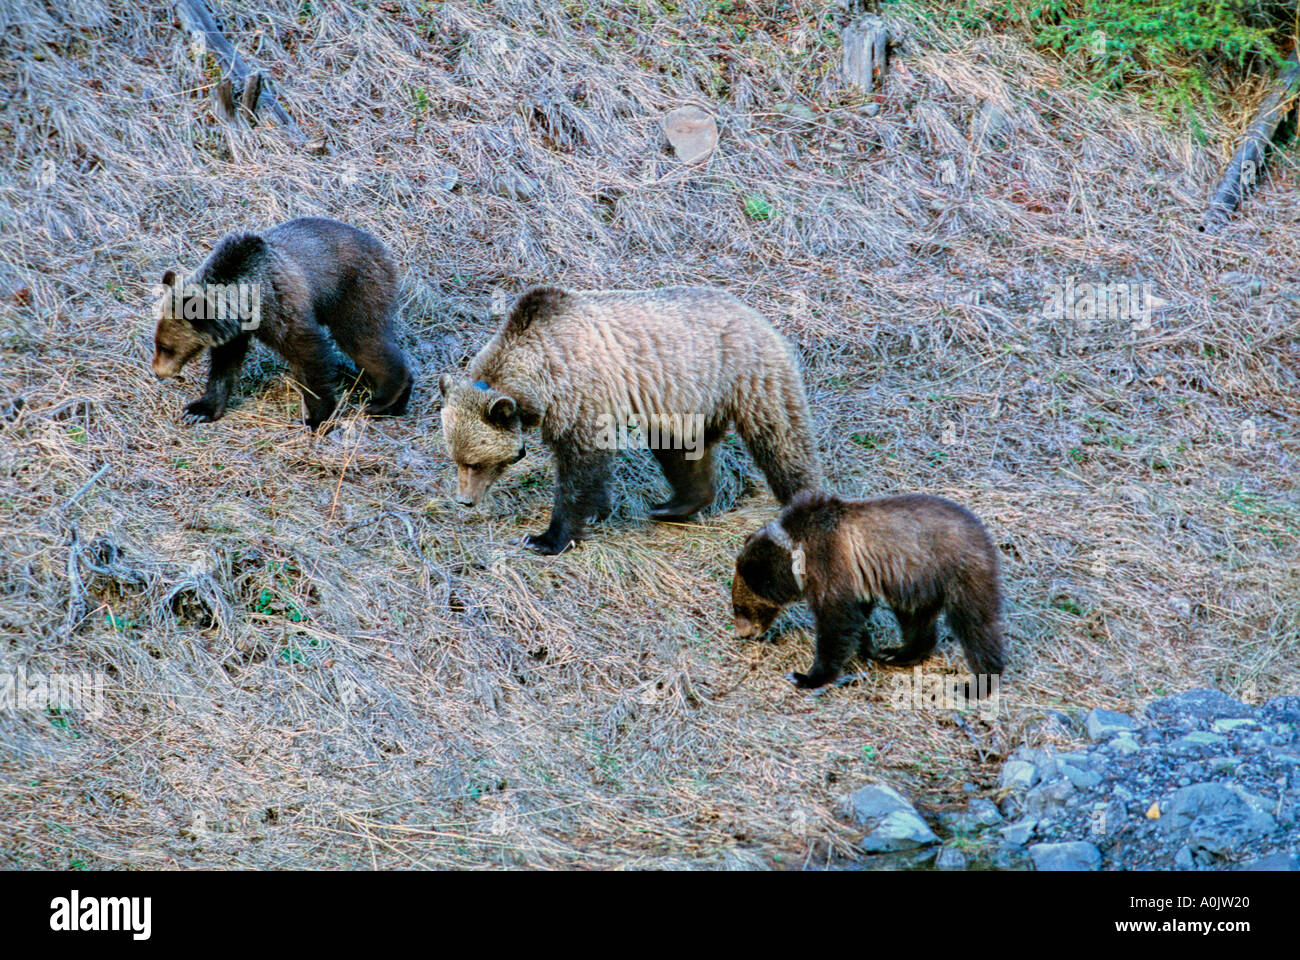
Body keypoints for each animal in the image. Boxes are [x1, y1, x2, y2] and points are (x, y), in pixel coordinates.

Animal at [150, 218, 410, 429]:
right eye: (157, 343)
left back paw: (383, 400)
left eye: (166, 347)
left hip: (355, 291)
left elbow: (309, 355)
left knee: (362, 340)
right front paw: (199, 410)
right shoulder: (234, 331)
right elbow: (224, 366)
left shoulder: (280, 311)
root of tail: (383, 249)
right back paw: (396, 405)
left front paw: (316, 417)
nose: (157, 372)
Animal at [441, 283, 816, 554]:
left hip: (748, 376)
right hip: (686, 401)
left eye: (474, 462)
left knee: (781, 442)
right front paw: (598, 509)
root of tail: (758, 316)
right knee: (681, 451)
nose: (465, 499)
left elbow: (578, 467)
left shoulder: (578, 393)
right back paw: (673, 505)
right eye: (456, 459)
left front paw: (546, 538)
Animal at [733, 489, 1003, 686]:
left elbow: (836, 622)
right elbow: (856, 616)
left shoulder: (830, 563)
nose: (742, 633)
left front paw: (807, 676)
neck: (798, 553)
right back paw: (897, 654)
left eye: (739, 606)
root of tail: (984, 532)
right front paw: (867, 647)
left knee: (975, 624)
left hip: (958, 570)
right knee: (916, 621)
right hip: (914, 583)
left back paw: (981, 680)